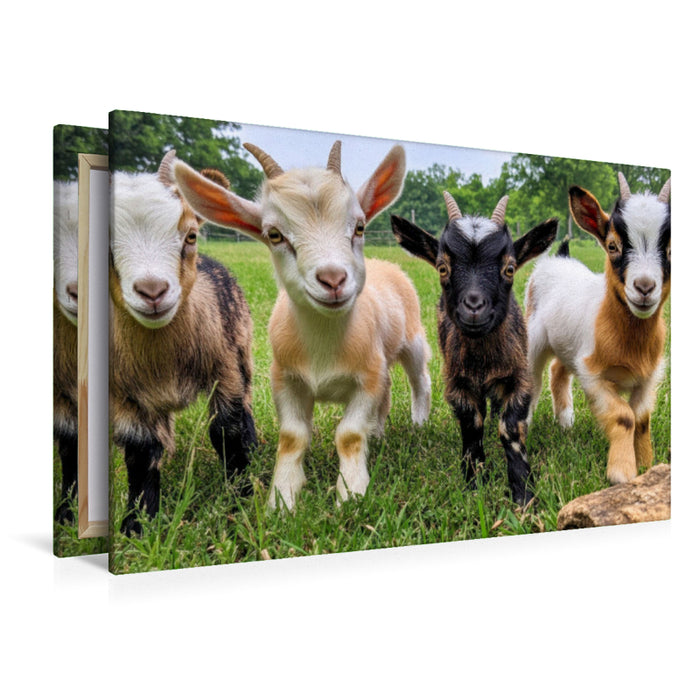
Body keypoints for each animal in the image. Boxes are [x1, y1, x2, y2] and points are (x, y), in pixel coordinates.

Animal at [110, 151, 257, 534]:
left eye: (190, 235)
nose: (152, 291)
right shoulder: (125, 397)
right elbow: (141, 452)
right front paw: (137, 524)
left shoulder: (225, 369)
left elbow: (226, 430)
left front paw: (242, 497)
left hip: (243, 350)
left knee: (247, 403)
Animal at [173, 141, 431, 511]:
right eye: (274, 234)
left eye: (359, 227)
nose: (333, 279)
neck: (325, 346)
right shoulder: (285, 379)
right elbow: (293, 437)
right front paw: (282, 499)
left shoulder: (366, 378)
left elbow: (349, 435)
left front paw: (352, 493)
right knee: (387, 393)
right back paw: (379, 434)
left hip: (412, 339)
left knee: (419, 379)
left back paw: (418, 424)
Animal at [392, 194, 557, 505]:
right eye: (442, 267)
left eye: (509, 268)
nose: (474, 306)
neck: (483, 362)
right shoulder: (457, 383)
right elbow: (471, 426)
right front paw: (474, 481)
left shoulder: (519, 378)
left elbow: (510, 428)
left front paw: (523, 493)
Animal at [526, 173, 671, 484]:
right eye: (613, 246)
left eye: (670, 249)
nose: (644, 287)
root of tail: (560, 257)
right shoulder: (593, 375)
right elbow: (624, 417)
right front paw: (622, 473)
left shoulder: (648, 377)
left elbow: (641, 419)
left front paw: (646, 465)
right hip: (534, 337)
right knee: (532, 381)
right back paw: (524, 427)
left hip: (568, 344)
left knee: (558, 371)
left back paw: (565, 422)